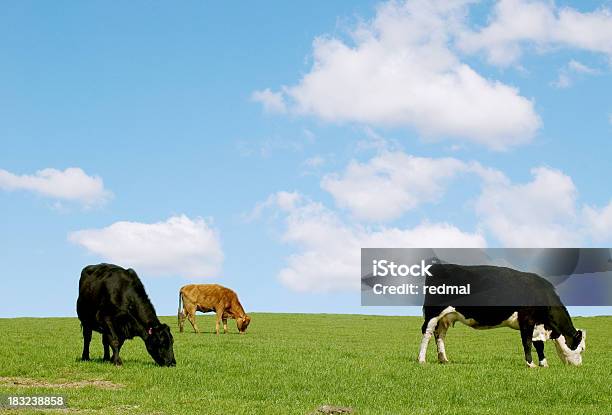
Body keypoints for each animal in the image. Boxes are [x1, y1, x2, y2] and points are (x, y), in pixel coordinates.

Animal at [418, 264, 584, 368]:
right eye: (581, 348)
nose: (579, 366)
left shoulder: (538, 325)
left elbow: (539, 345)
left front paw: (544, 364)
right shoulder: (526, 320)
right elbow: (527, 343)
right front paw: (531, 364)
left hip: (445, 317)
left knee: (440, 335)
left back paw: (443, 359)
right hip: (433, 313)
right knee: (427, 333)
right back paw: (421, 359)